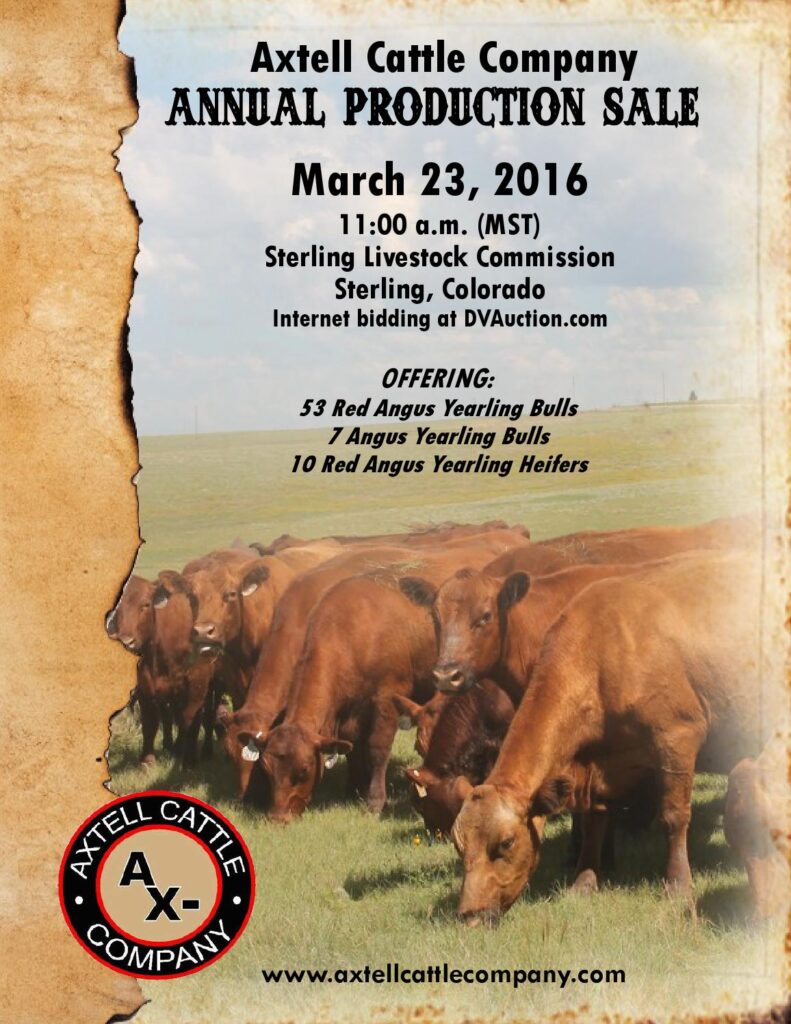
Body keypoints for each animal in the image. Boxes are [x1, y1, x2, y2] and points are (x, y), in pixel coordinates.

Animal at [450, 551, 761, 925]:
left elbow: (674, 816)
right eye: (459, 846)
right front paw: (584, 881)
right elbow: (596, 818)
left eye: (506, 843)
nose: (470, 915)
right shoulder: (601, 763)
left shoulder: (677, 738)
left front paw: (677, 884)